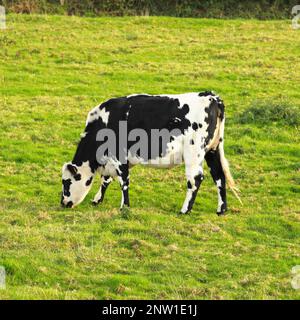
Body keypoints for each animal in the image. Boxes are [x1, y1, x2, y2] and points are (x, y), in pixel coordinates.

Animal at [61, 91, 241, 214]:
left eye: (66, 182)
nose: (63, 203)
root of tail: (212, 97)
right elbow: (106, 180)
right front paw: (97, 199)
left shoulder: (120, 157)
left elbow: (123, 182)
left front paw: (124, 207)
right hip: (213, 149)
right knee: (219, 176)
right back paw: (221, 209)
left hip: (194, 152)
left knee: (195, 179)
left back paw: (185, 210)